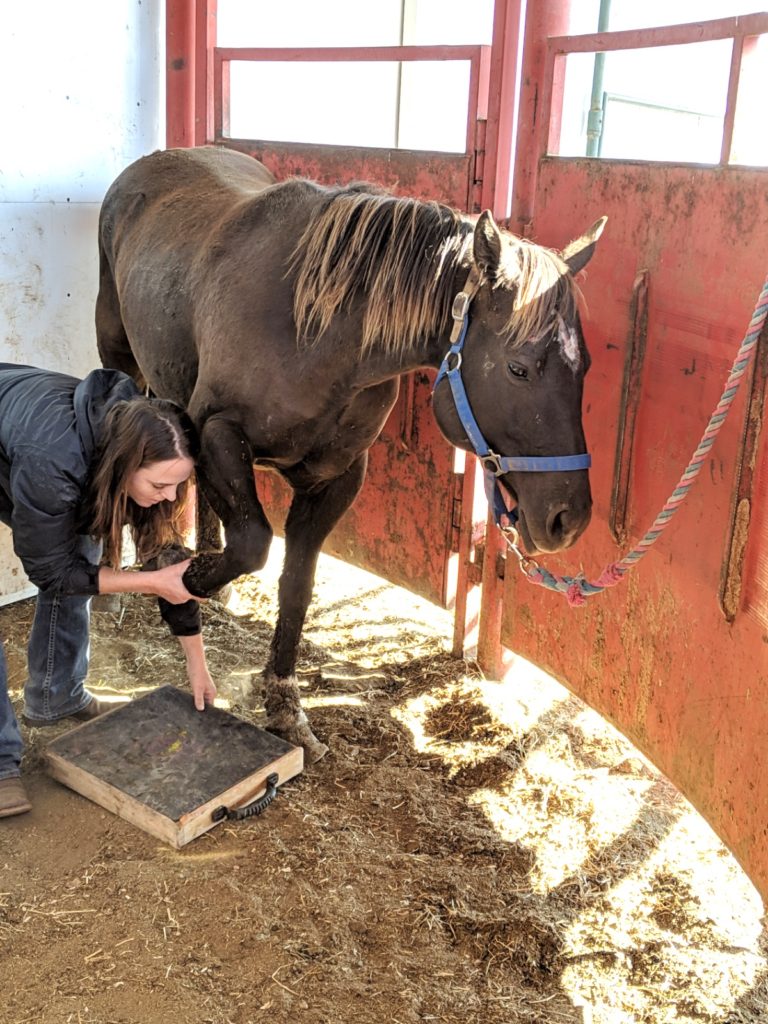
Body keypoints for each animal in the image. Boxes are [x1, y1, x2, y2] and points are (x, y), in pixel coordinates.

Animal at [94, 148, 606, 765]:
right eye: (519, 367)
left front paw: (284, 706)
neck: (311, 328)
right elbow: (254, 542)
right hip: (120, 357)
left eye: (584, 367)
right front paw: (176, 583)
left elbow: (296, 582)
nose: (567, 518)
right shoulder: (218, 432)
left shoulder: (334, 478)